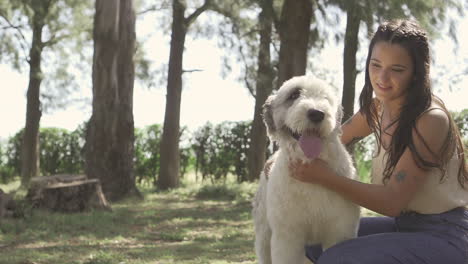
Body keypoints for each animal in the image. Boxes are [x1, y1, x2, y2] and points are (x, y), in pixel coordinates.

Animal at [252, 75, 362, 262]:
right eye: (294, 94)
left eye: (326, 98)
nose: (317, 113)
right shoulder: (287, 237)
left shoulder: (340, 231)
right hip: (264, 236)